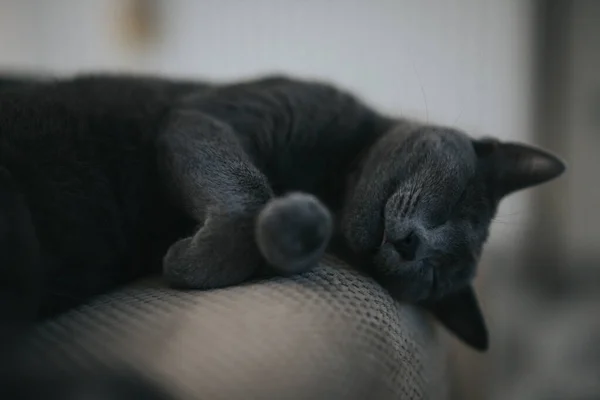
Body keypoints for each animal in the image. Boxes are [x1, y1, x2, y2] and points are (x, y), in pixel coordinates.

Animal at [0, 73, 564, 396]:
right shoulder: (208, 114)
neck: (330, 178)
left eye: (434, 277)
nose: (415, 246)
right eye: (457, 199)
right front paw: (193, 259)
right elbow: (248, 191)